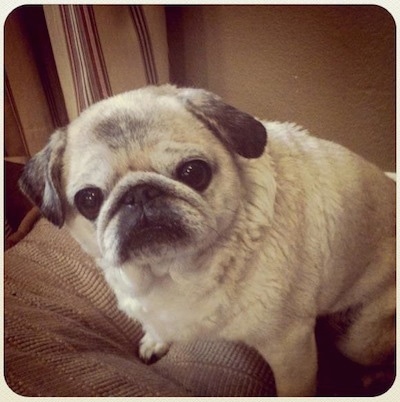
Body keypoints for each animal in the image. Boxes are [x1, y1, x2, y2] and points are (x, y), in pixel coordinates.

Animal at [18, 85, 394, 396]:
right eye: (89, 200)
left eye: (193, 172)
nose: (140, 192)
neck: (171, 271)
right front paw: (155, 340)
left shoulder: (290, 347)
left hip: (358, 338)